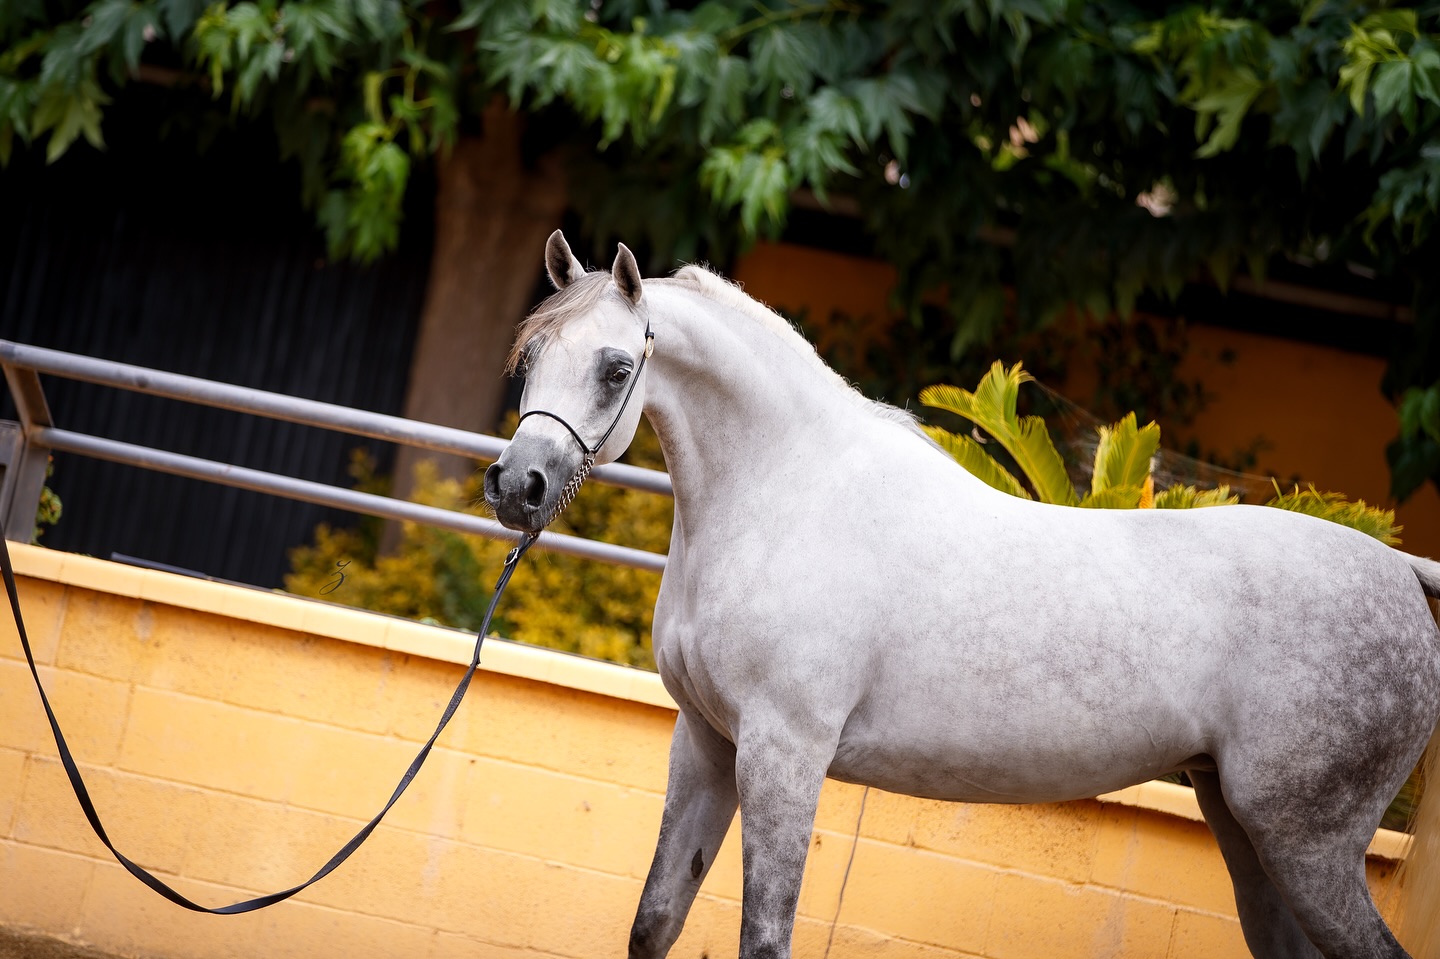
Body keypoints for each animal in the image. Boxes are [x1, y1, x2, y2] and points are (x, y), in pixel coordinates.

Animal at [483, 231, 1440, 959]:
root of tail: (1402, 579)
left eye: (615, 368)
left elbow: (764, 935)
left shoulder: (784, 752)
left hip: (1306, 844)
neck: (789, 492)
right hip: (1246, 828)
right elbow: (655, 919)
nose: (519, 487)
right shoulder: (707, 741)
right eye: (533, 355)